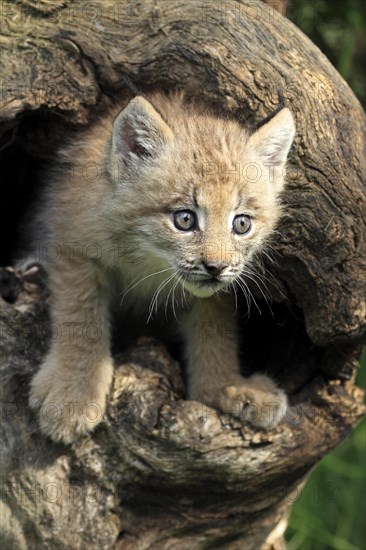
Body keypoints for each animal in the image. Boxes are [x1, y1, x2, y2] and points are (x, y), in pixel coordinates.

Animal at [27, 90, 296, 444]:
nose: (216, 266)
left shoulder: (215, 291)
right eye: (184, 219)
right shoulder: (71, 244)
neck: (149, 261)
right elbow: (80, 317)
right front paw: (73, 393)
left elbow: (215, 329)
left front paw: (224, 385)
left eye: (241, 224)